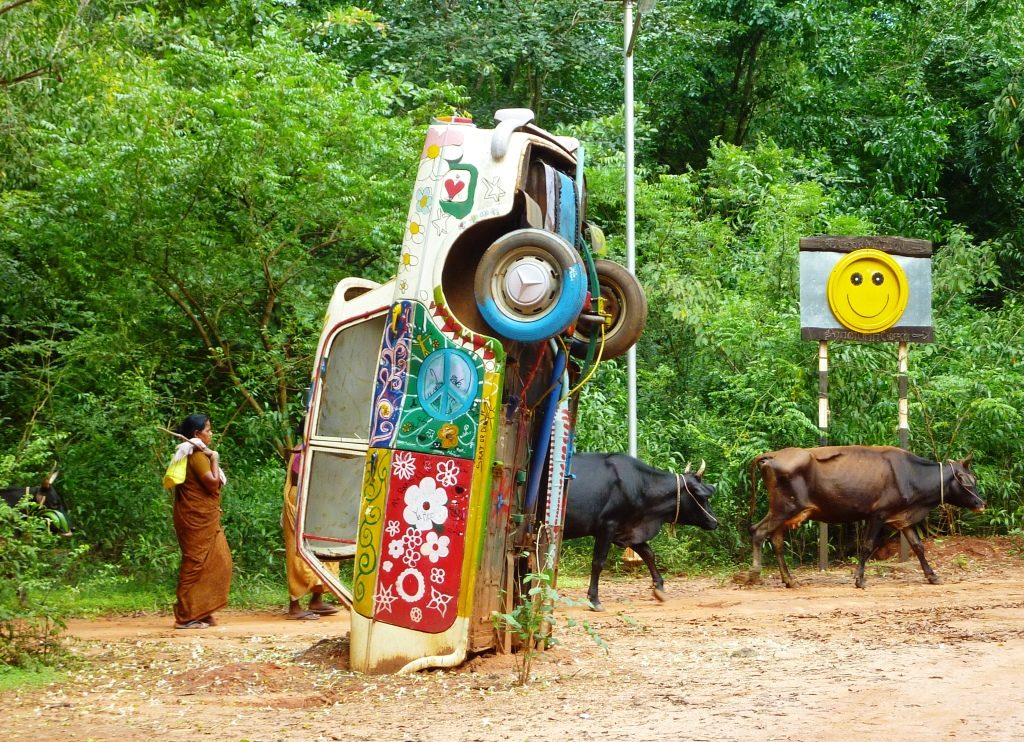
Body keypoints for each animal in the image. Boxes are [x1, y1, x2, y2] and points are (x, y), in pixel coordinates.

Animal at [561, 454, 720, 609]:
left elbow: (648, 553)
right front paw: (594, 600)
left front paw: (659, 588)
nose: (715, 522)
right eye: (704, 496)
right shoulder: (607, 526)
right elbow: (598, 562)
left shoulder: (627, 531)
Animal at [745, 442, 983, 589]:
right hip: (784, 508)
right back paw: (755, 574)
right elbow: (867, 546)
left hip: (785, 512)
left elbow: (918, 546)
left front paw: (932, 576)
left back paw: (790, 580)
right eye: (965, 479)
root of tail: (773, 455)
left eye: (973, 478)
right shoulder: (878, 514)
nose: (981, 504)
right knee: (757, 531)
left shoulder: (901, 517)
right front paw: (859, 580)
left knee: (776, 541)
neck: (912, 476)